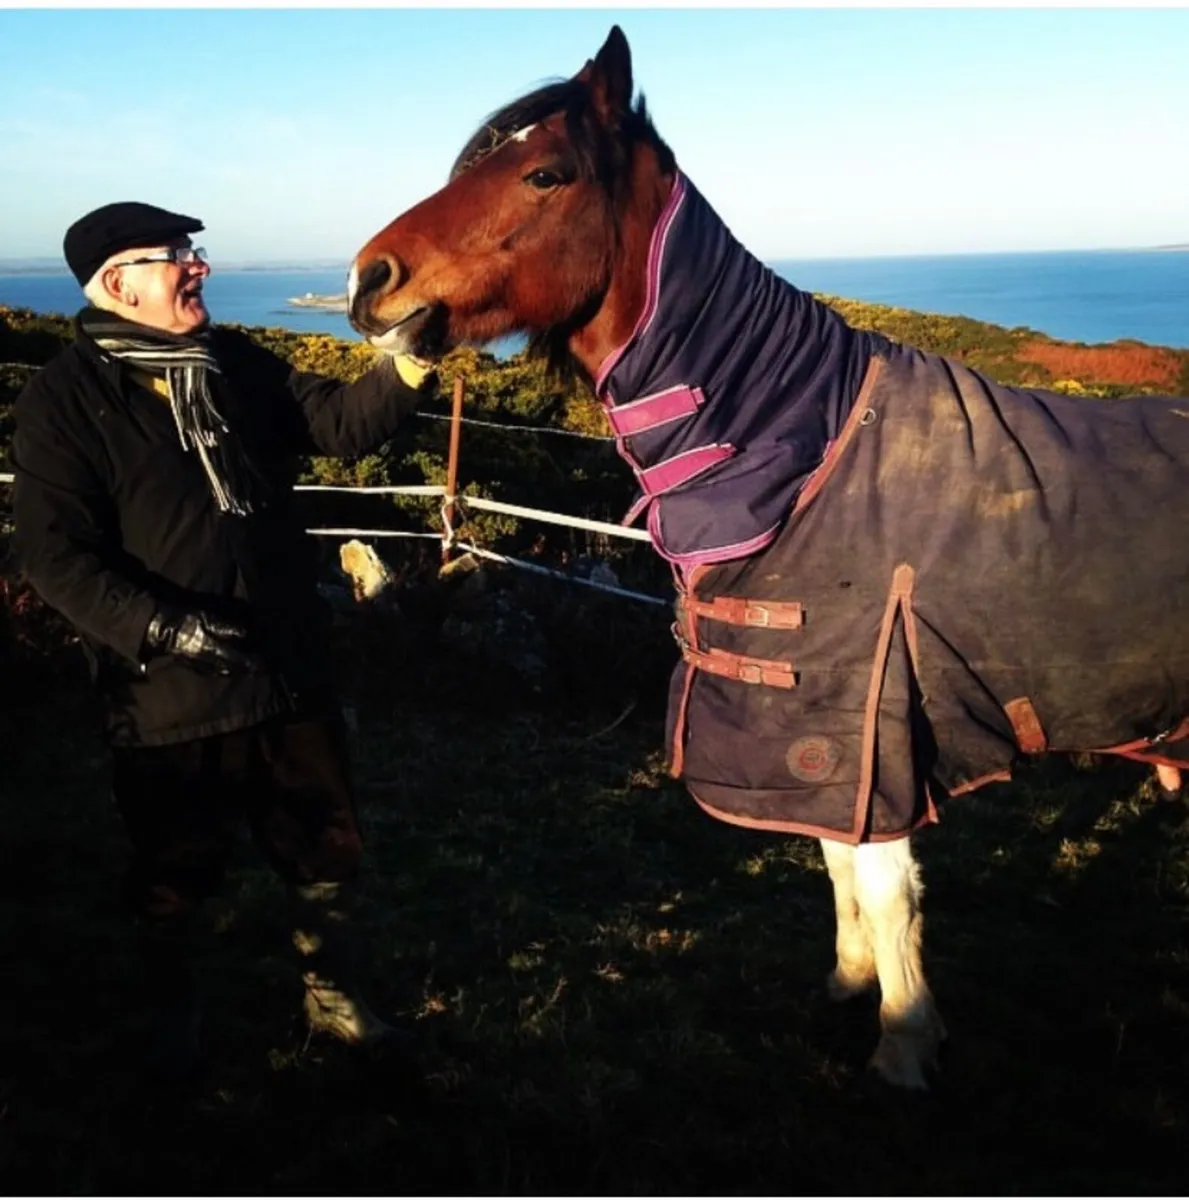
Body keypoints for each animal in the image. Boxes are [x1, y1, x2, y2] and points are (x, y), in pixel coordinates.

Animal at [345, 25, 1189, 1089]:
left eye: (544, 172)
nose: (368, 279)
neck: (799, 451)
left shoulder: (862, 721)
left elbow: (884, 885)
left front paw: (902, 1041)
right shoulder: (806, 736)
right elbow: (833, 864)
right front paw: (850, 983)